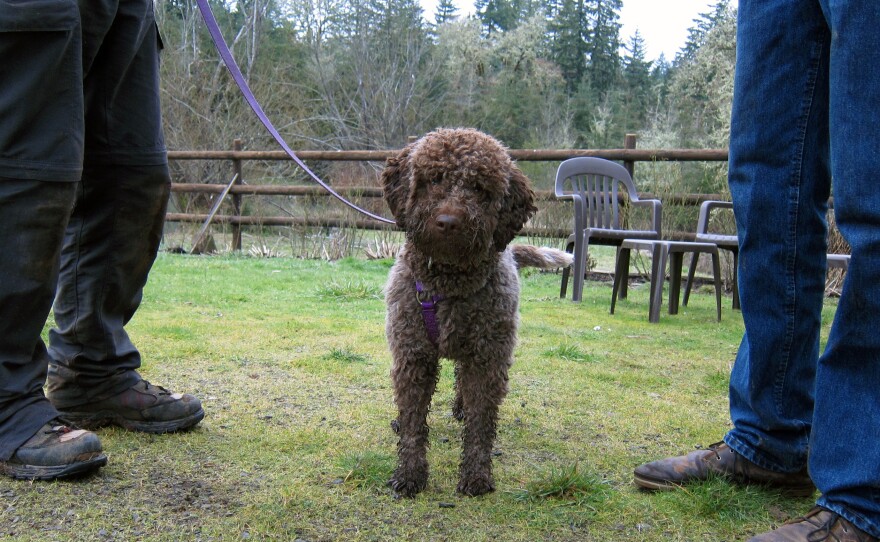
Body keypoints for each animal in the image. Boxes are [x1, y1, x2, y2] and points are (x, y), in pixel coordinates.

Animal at [382, 129, 576, 498]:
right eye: (435, 178)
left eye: (479, 188)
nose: (448, 222)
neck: (448, 285)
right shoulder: (413, 354)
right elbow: (414, 421)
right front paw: (410, 474)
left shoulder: (488, 358)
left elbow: (481, 423)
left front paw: (476, 476)